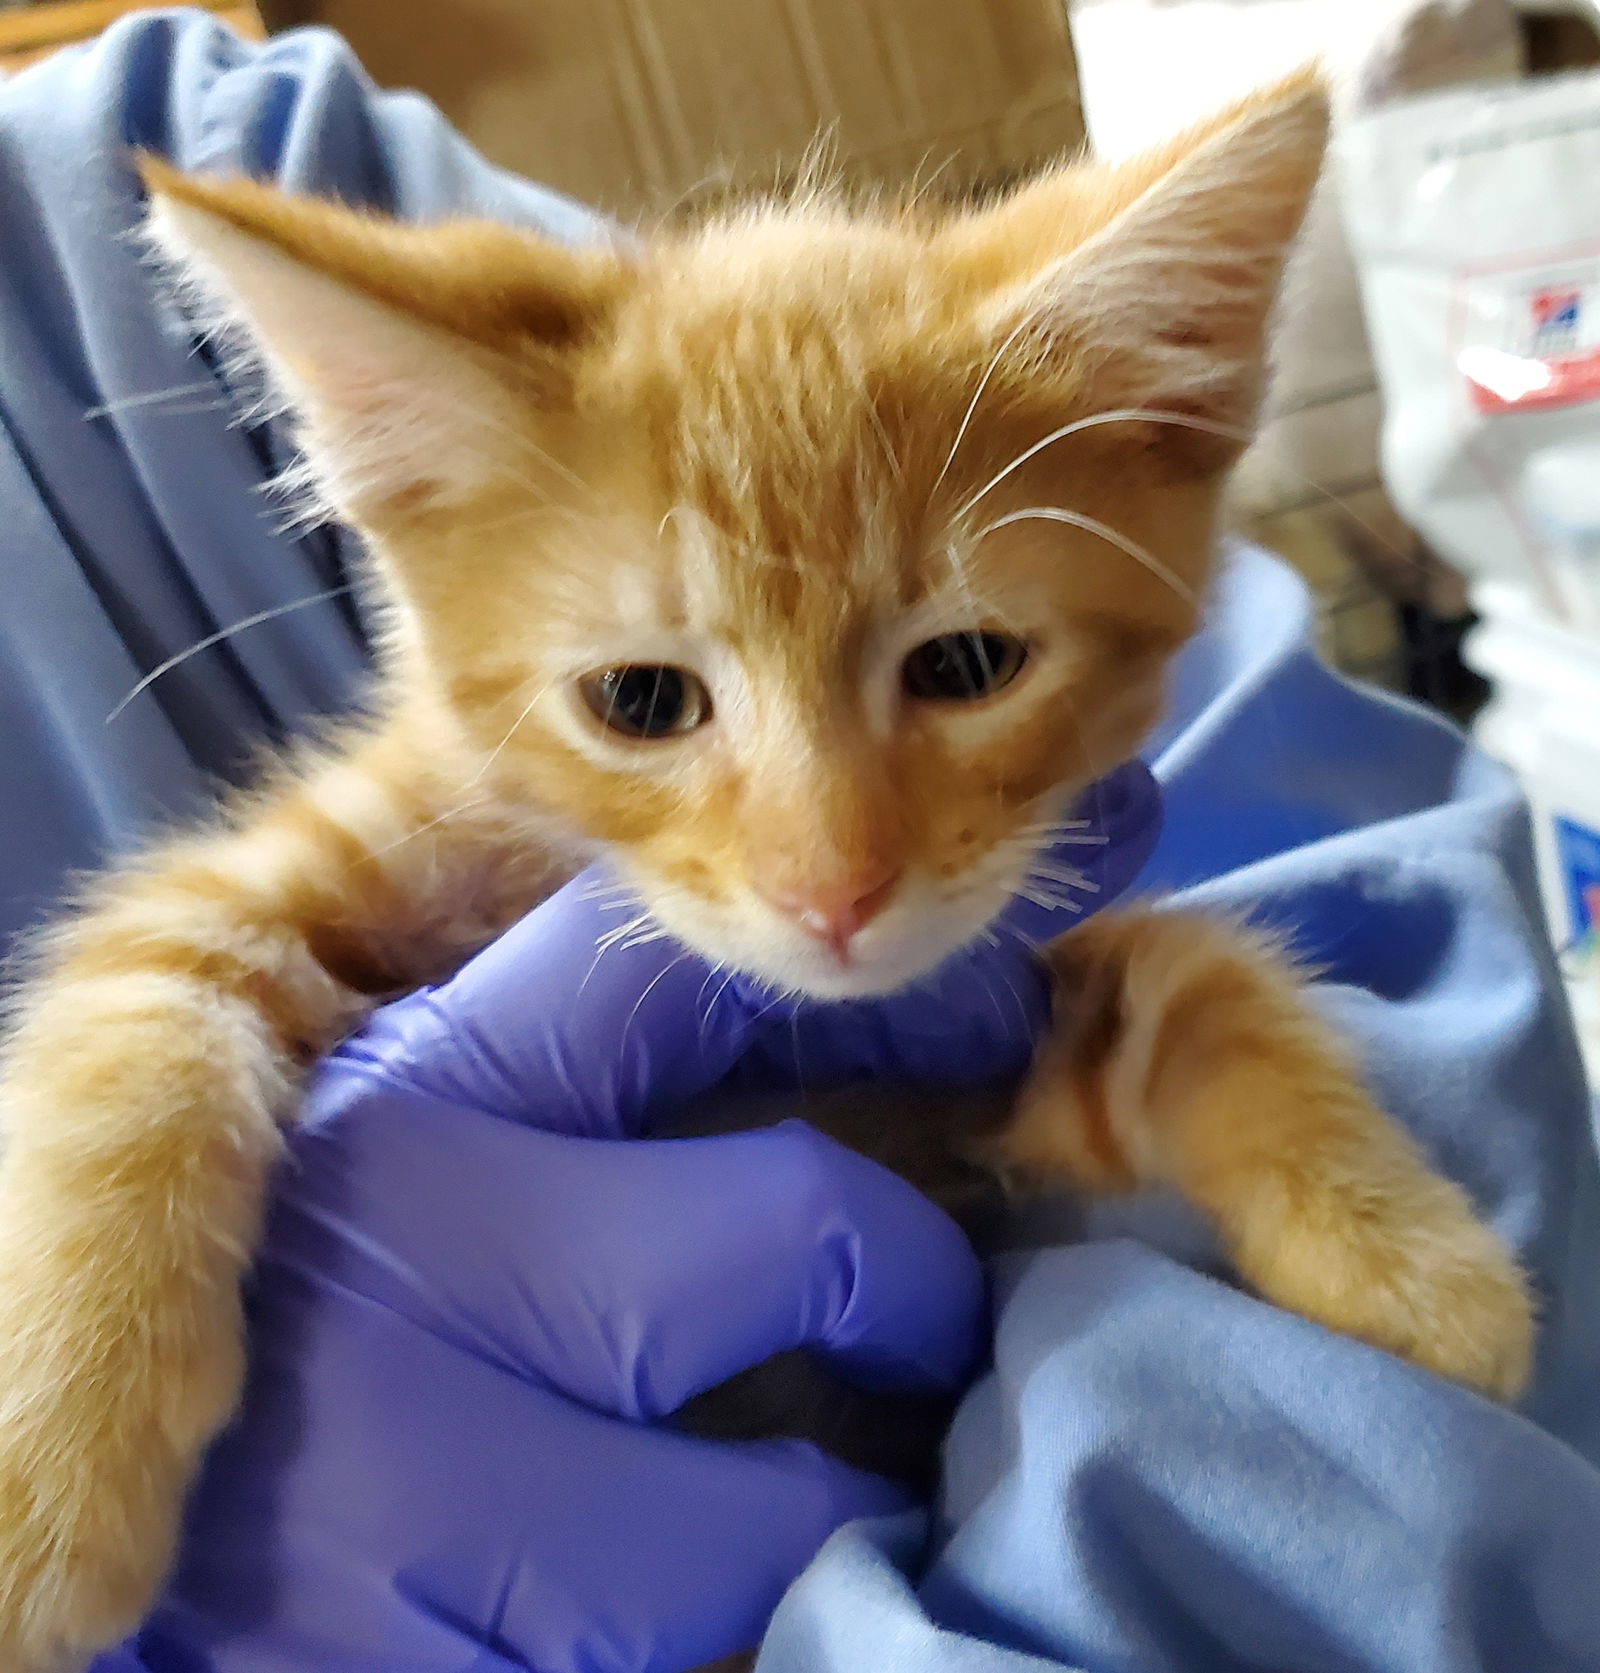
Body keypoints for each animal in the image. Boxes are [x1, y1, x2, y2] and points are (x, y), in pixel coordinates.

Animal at [0, 75, 1533, 1673]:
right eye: (639, 699)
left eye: (965, 666)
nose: (833, 892)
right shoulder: (267, 877)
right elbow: (131, 1036)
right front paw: (48, 1478)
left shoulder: (964, 1046)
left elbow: (1206, 983)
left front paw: (1407, 1259)